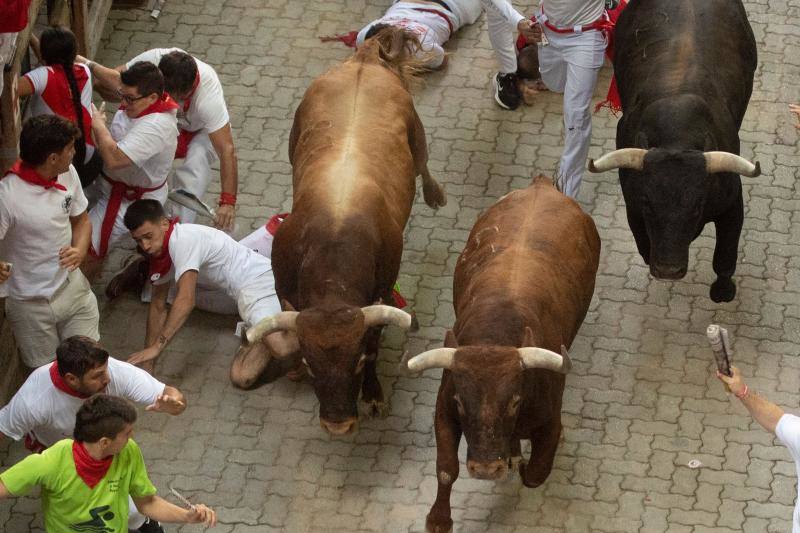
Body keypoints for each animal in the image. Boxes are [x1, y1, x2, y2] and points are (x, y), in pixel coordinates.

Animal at [230, 27, 444, 436]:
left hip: (417, 132)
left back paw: (435, 193)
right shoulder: (284, 288)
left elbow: (375, 340)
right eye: (313, 366)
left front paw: (373, 394)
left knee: (424, 162)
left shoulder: (380, 292)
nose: (338, 424)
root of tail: (363, 58)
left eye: (357, 362)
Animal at [410, 178, 596, 532]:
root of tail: (542, 186)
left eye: (514, 401)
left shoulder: (550, 422)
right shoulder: (444, 410)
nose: (485, 469)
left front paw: (521, 464)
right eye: (460, 402)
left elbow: (536, 474)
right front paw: (438, 518)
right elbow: (446, 468)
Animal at [592, 0, 760, 302]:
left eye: (696, 207)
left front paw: (723, 291)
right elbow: (643, 243)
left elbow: (725, 257)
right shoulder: (633, 205)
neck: (676, 134)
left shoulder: (732, 203)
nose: (668, 270)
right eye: (649, 204)